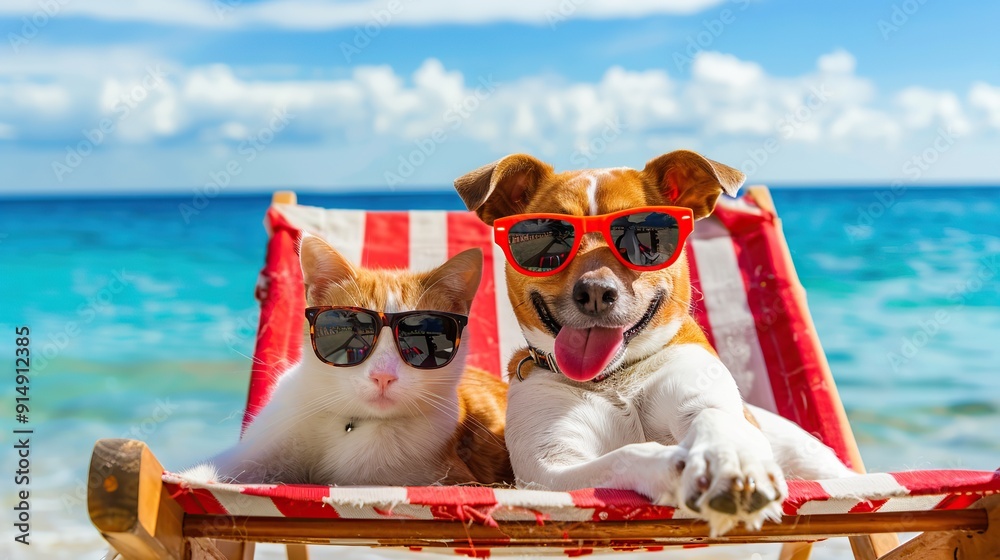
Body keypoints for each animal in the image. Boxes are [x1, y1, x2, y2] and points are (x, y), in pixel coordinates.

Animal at [454, 151, 852, 536]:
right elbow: (625, 454)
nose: (595, 292)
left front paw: (730, 460)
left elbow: (713, 418)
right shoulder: (550, 469)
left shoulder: (701, 396)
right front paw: (671, 467)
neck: (615, 379)